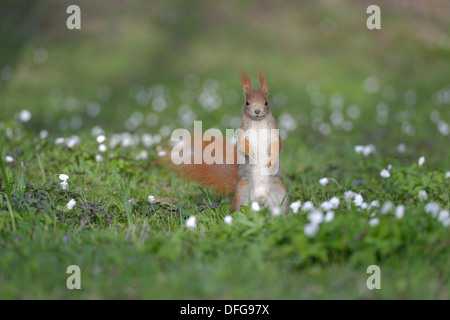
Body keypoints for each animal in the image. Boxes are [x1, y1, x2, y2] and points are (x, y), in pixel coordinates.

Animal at [171, 71, 290, 214]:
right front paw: (252, 154)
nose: (257, 111)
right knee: (239, 210)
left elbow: (278, 145)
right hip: (242, 195)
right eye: (247, 102)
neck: (257, 122)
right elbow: (242, 144)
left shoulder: (274, 132)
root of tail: (260, 198)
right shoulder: (243, 132)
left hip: (280, 194)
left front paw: (271, 159)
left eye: (266, 102)